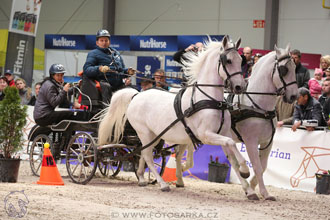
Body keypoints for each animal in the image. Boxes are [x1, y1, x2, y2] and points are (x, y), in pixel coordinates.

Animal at [98, 36, 248, 191]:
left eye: (240, 60)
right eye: (228, 61)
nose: (240, 86)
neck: (209, 100)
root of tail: (136, 95)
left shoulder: (223, 133)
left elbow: (231, 153)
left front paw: (247, 186)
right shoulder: (206, 135)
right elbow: (231, 143)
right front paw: (245, 170)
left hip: (153, 136)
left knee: (143, 152)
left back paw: (141, 178)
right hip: (145, 133)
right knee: (147, 155)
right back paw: (162, 184)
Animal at [182, 44, 298, 199]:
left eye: (295, 67)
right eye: (284, 70)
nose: (294, 96)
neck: (257, 105)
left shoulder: (267, 142)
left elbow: (263, 166)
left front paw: (255, 186)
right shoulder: (251, 142)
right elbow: (257, 167)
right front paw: (263, 192)